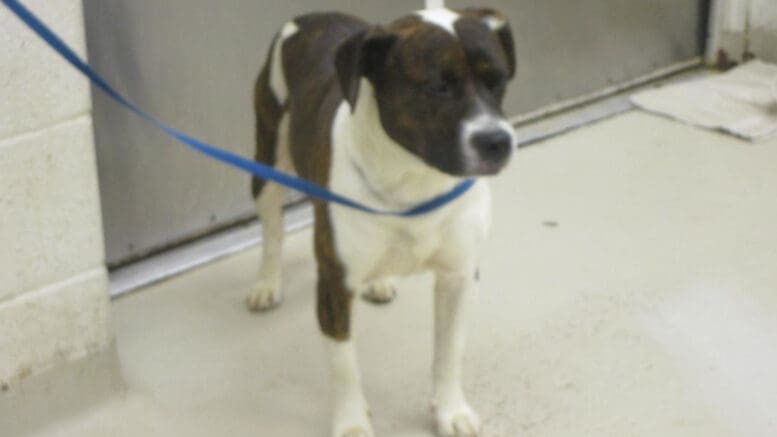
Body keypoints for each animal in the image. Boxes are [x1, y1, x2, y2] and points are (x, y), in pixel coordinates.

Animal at [247, 5, 516, 434]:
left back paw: (379, 282)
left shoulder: (458, 277)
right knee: (272, 229)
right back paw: (267, 283)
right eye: (438, 88)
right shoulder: (335, 286)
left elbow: (449, 352)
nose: (498, 141)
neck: (414, 179)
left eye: (498, 81)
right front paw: (352, 423)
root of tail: (310, 16)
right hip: (267, 162)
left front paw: (451, 410)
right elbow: (344, 367)